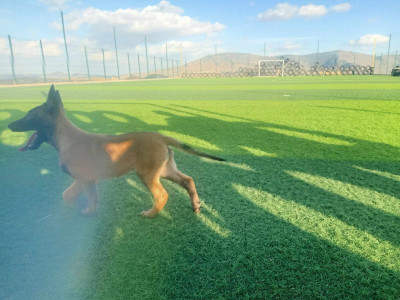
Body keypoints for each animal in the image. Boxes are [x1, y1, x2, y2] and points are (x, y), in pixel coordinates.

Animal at [7, 84, 225, 216]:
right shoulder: (86, 180)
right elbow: (74, 196)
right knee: (188, 181)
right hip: (165, 170)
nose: (9, 125)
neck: (66, 138)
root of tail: (160, 136)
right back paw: (196, 205)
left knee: (162, 195)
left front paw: (85, 212)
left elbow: (80, 197)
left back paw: (151, 214)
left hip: (147, 174)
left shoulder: (84, 179)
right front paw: (85, 210)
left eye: (29, 115)